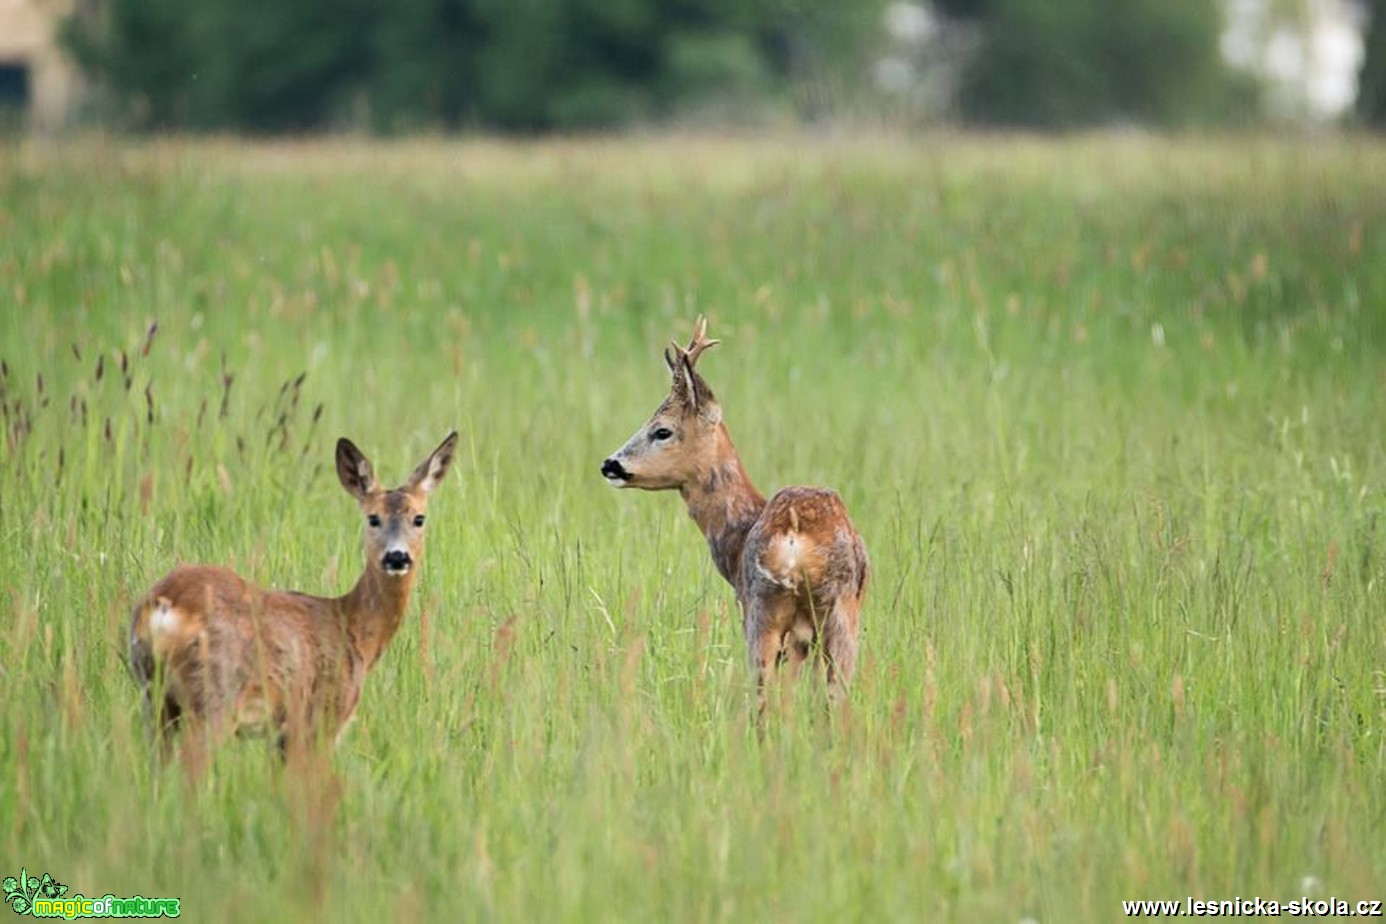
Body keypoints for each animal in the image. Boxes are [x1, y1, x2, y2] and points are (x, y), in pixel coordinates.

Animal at [130, 429, 457, 770]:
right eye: (373, 518)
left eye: (419, 518)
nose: (396, 557)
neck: (355, 630)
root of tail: (164, 607)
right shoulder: (319, 718)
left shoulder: (282, 734)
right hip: (214, 696)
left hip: (154, 699)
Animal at [598, 320, 864, 714]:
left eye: (662, 430)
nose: (610, 464)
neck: (739, 534)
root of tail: (794, 536)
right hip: (839, 618)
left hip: (763, 611)